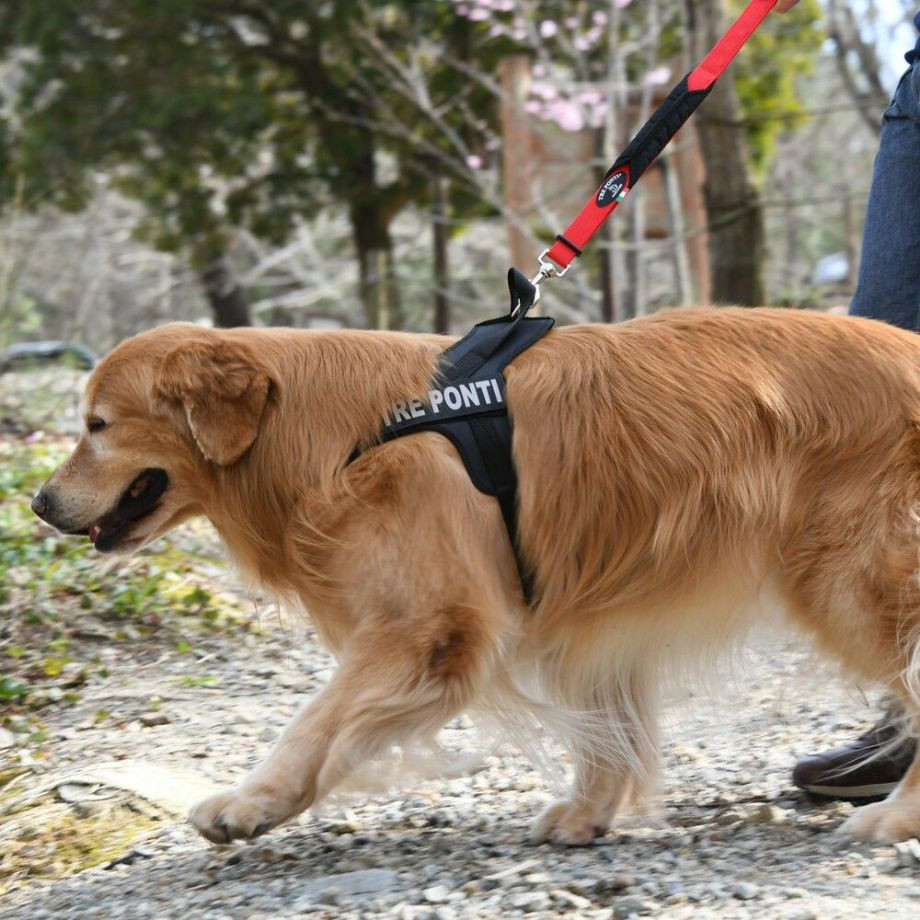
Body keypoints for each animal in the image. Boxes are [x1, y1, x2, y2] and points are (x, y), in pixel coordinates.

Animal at [30, 310, 920, 848]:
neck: (331, 433)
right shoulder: (590, 610)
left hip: (851, 583)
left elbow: (316, 720)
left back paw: (892, 819)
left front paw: (252, 802)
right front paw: (587, 812)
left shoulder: (430, 622)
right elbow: (607, 726)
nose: (37, 503)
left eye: (97, 425)